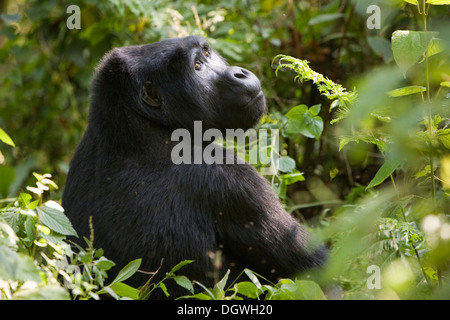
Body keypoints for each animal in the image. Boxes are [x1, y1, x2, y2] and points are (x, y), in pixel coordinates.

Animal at [61, 36, 326, 298]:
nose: (239, 73)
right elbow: (319, 269)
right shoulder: (233, 179)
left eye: (207, 54)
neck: (139, 125)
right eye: (197, 67)